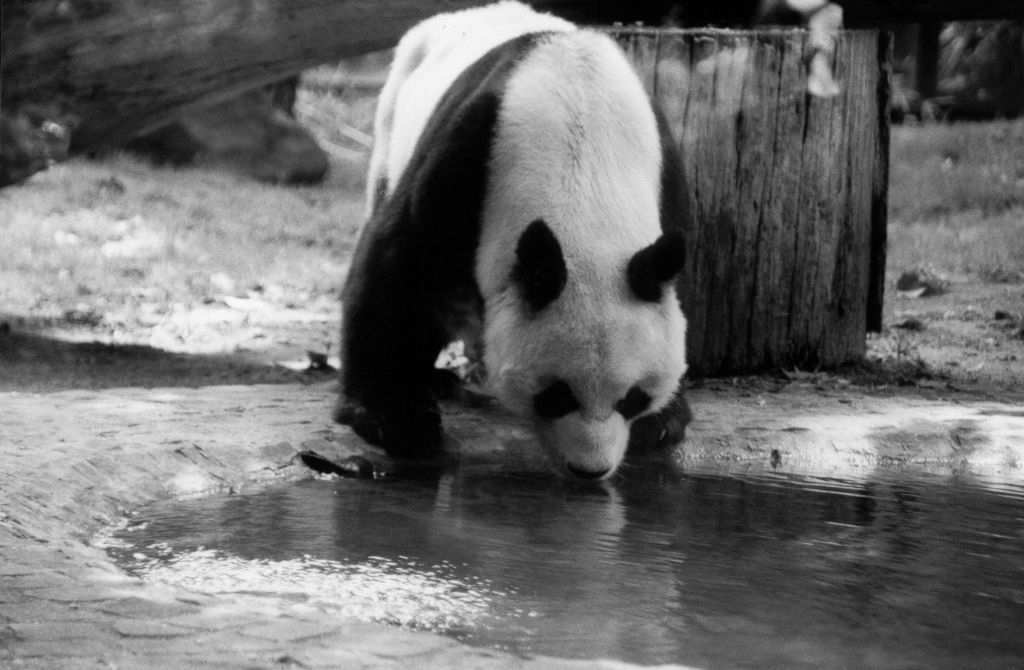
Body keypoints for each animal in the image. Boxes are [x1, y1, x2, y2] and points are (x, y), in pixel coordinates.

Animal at [336, 1, 692, 480]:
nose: (590, 470)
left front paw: (662, 420)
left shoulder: (664, 174)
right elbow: (399, 261)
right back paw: (439, 381)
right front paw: (395, 420)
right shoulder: (469, 153)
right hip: (392, 120)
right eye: (557, 395)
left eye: (632, 397)